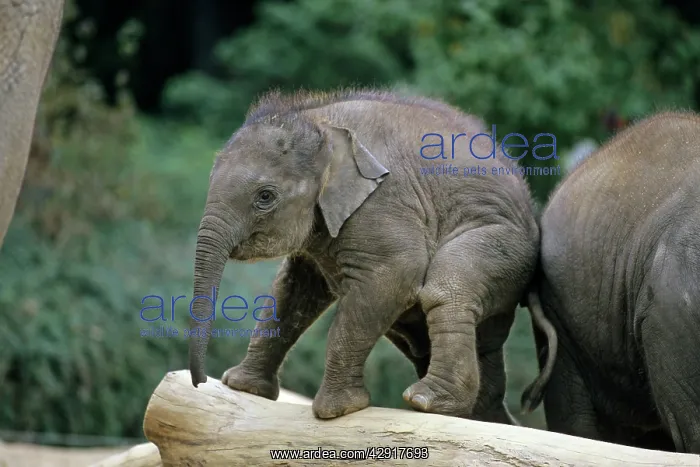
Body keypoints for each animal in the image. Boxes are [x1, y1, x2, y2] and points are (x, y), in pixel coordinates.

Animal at [188, 88, 557, 422]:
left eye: (265, 196)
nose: (200, 382)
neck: (319, 120)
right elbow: (291, 290)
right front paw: (243, 387)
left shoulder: (384, 201)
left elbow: (396, 272)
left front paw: (338, 411)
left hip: (504, 245)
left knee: (446, 289)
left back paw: (426, 402)